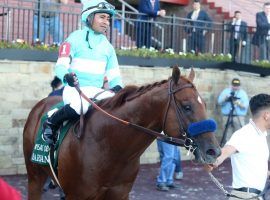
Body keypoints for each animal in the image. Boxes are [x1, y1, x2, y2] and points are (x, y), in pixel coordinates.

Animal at [23, 67, 220, 198]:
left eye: (204, 104)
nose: (214, 151)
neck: (110, 145)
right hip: (35, 177)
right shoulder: (79, 195)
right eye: (187, 107)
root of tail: (41, 105)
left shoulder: (119, 193)